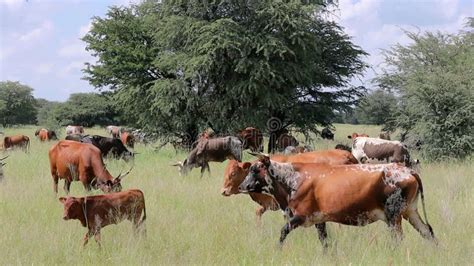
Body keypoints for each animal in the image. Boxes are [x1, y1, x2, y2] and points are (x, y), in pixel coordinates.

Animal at [239, 155, 438, 248]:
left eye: (256, 170)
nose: (242, 186)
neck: (293, 179)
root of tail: (408, 171)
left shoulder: (300, 216)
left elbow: (283, 232)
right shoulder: (319, 220)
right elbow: (325, 241)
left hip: (393, 216)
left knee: (398, 239)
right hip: (410, 211)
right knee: (427, 231)